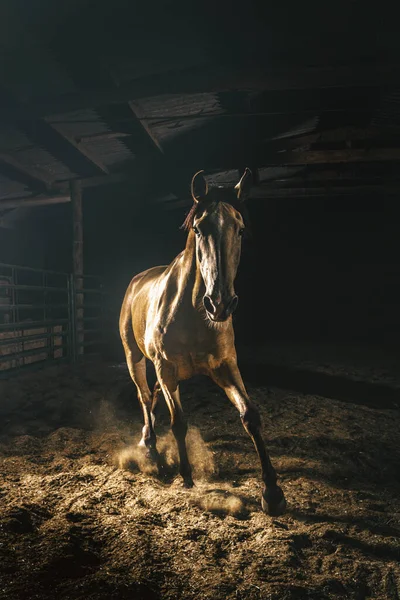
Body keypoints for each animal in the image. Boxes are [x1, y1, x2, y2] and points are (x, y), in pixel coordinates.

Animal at [118, 169, 284, 516]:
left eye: (240, 229)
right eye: (198, 229)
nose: (219, 304)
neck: (192, 312)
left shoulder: (225, 366)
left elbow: (250, 416)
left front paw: (273, 492)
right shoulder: (165, 369)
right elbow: (178, 422)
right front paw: (186, 477)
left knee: (152, 397)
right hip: (134, 358)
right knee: (144, 397)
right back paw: (150, 448)